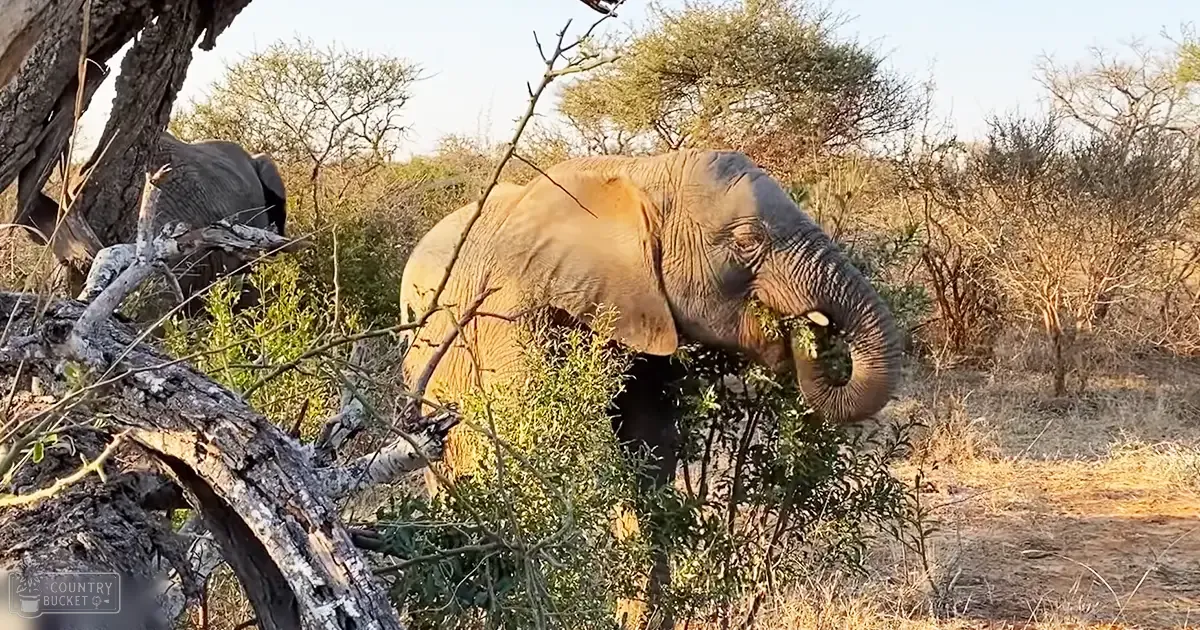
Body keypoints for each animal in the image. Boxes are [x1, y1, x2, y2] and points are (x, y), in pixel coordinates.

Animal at [398, 148, 902, 626]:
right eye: (747, 241)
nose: (808, 332)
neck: (645, 172)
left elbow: (649, 449)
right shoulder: (510, 314)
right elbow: (550, 450)